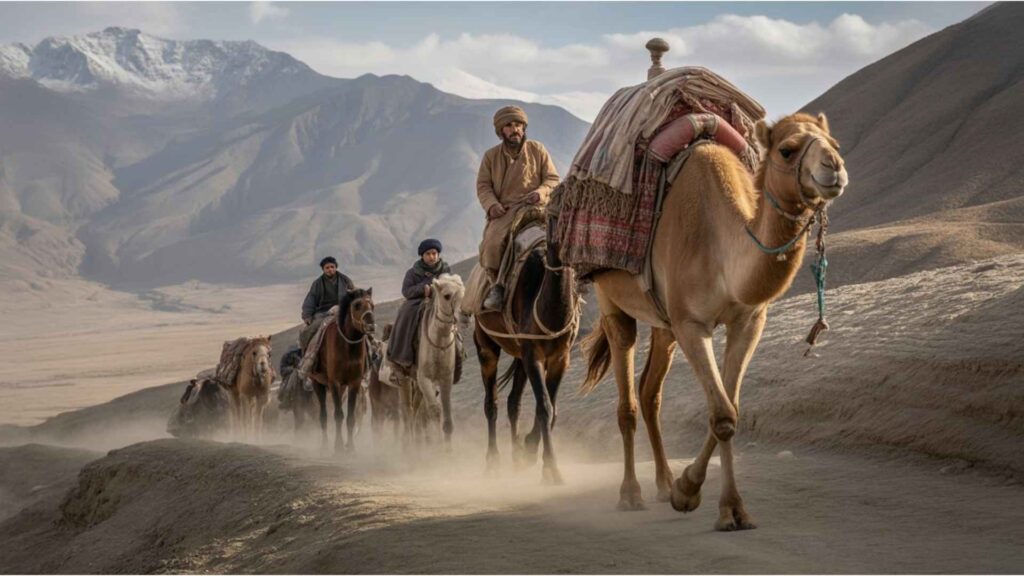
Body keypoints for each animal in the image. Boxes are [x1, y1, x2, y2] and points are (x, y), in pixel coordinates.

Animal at [581, 113, 848, 529]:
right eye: (787, 150)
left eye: (834, 143)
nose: (833, 166)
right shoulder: (692, 324)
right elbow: (721, 414)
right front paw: (705, 499)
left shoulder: (748, 320)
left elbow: (730, 408)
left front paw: (700, 495)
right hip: (612, 300)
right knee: (627, 403)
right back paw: (630, 494)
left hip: (664, 325)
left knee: (650, 392)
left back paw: (663, 484)